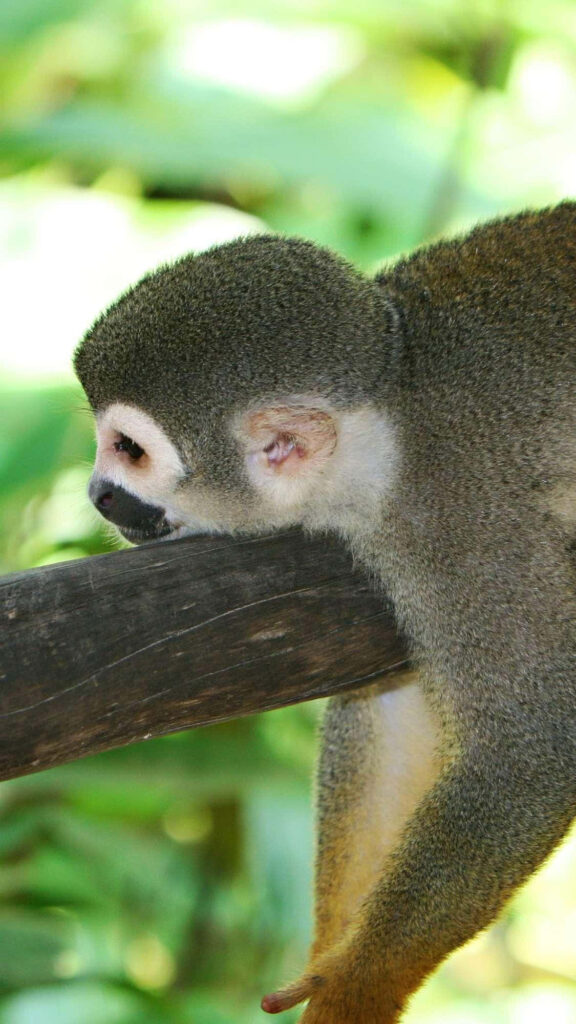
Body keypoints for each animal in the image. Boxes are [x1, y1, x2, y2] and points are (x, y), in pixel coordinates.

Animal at [74, 203, 576, 1023]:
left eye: (129, 450)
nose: (96, 495)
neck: (391, 413)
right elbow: (397, 717)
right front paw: (329, 952)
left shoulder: (460, 518)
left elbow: (529, 752)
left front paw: (358, 985)